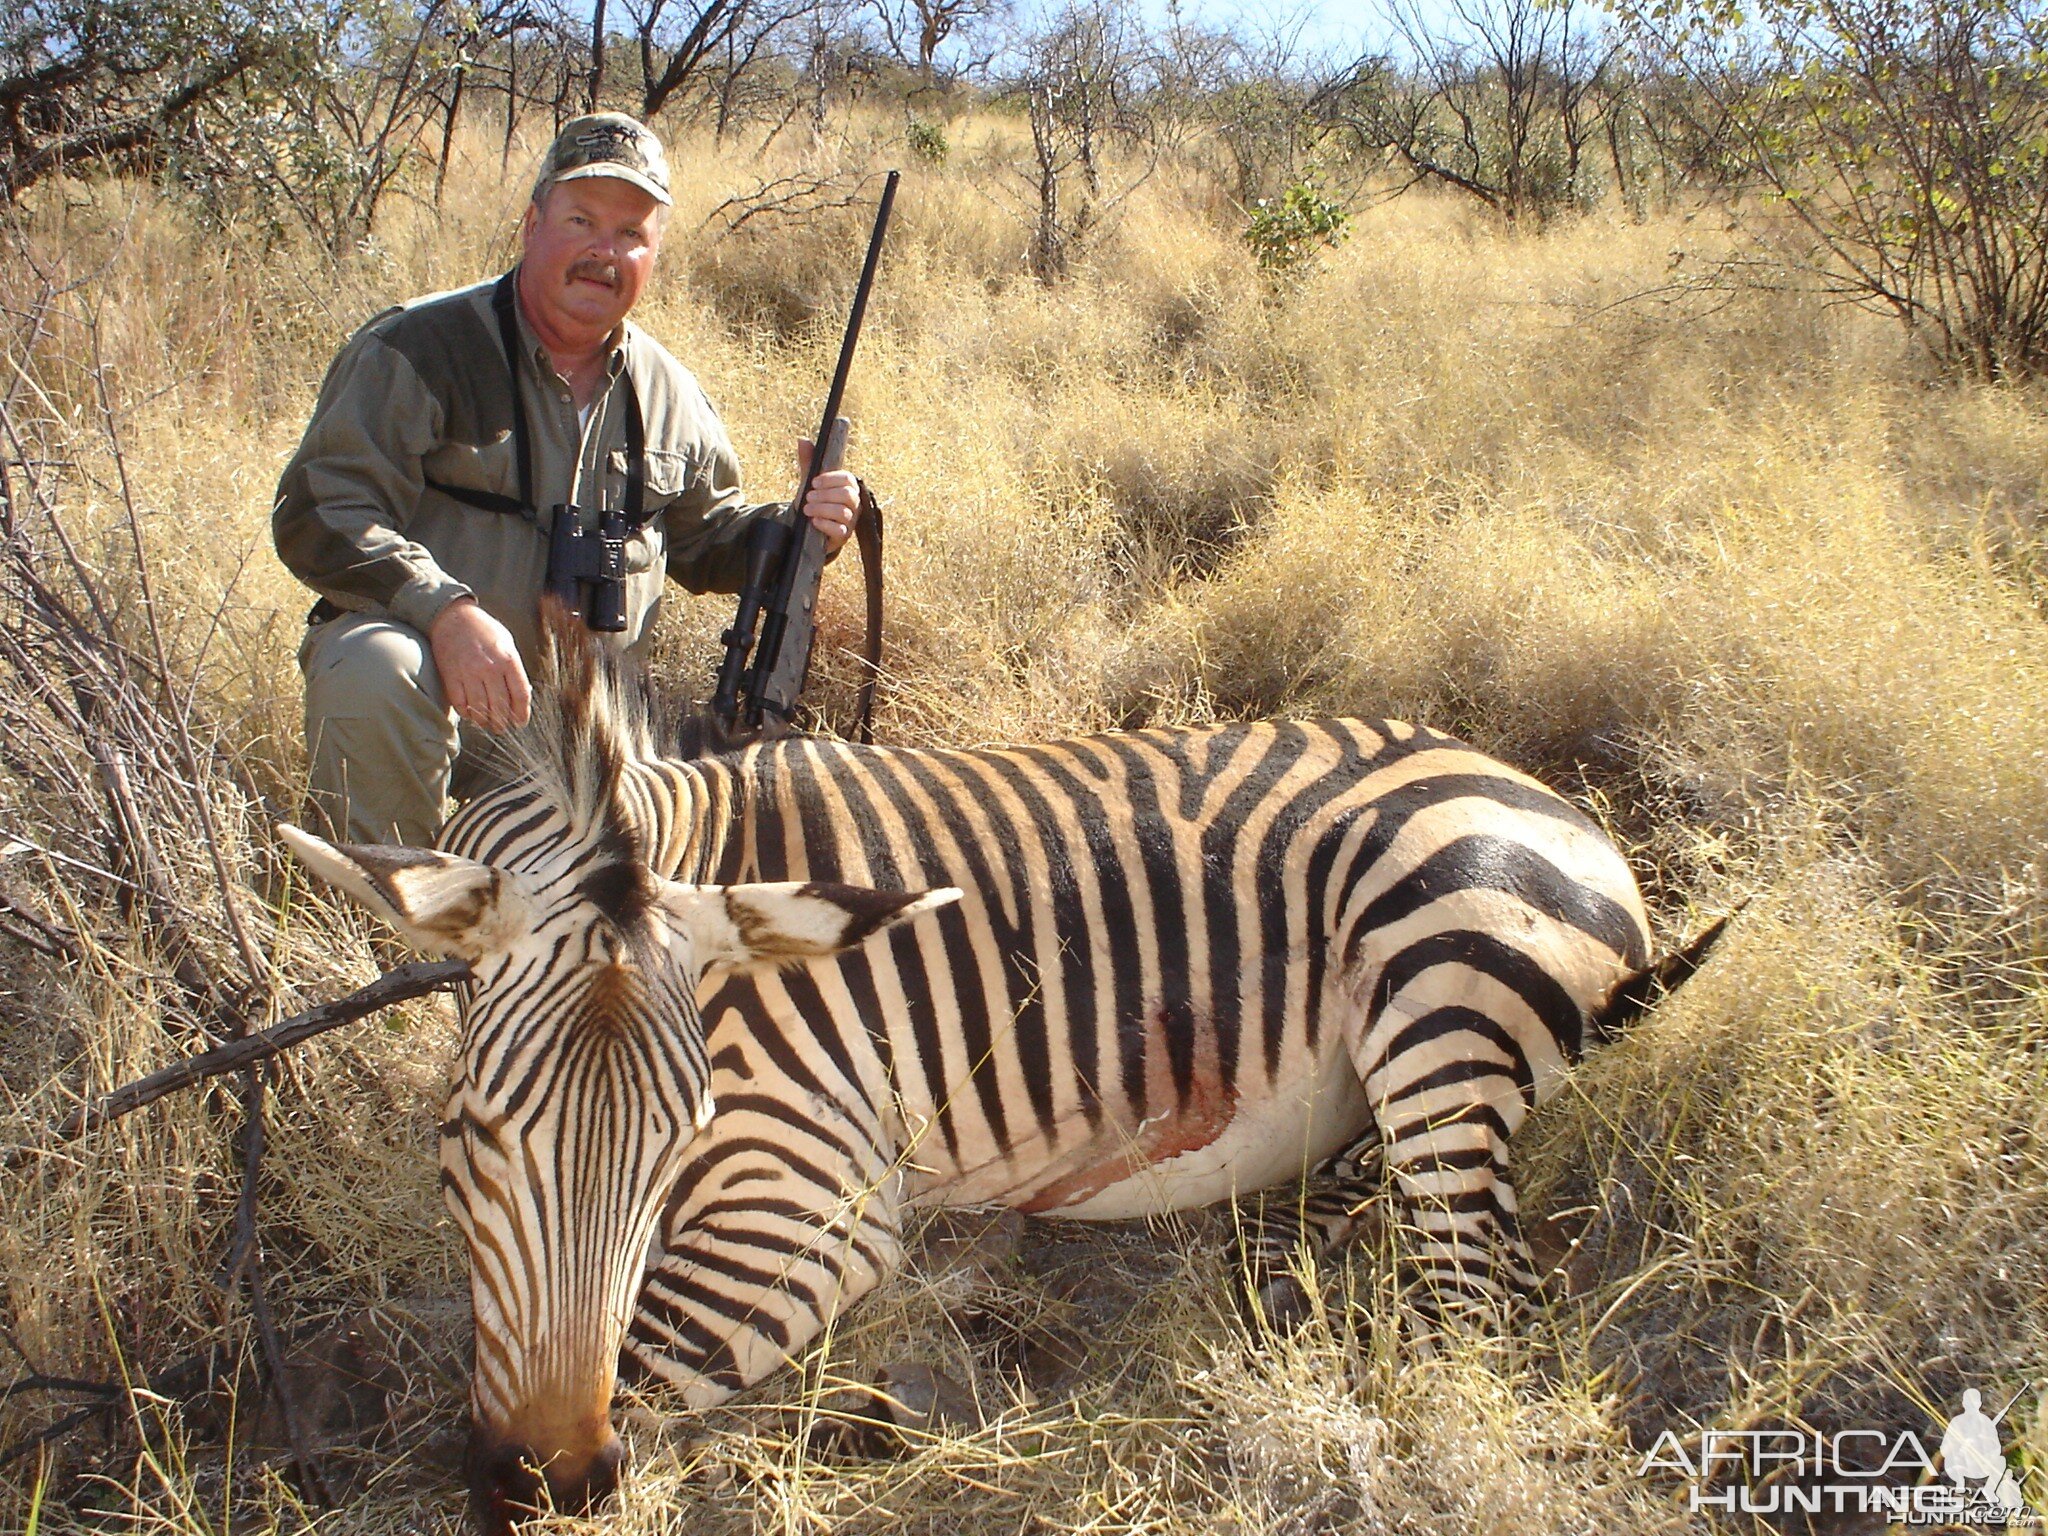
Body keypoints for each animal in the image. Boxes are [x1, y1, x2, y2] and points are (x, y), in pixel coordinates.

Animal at [280, 618, 1720, 1531]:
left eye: (678, 1144)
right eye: (468, 1138)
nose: (545, 1479)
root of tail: (1546, 797)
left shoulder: (811, 1200)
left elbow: (641, 1358)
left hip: (1439, 992)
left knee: (1481, 1305)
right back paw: (1285, 1272)